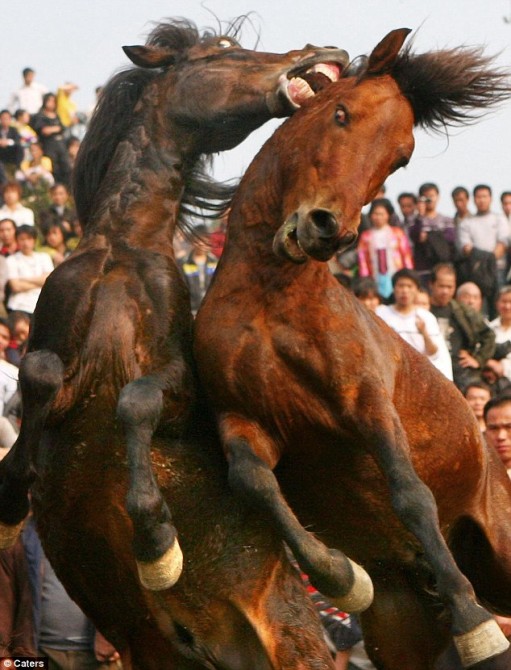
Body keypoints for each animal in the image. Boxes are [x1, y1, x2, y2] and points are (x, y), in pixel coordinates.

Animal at [0, 18, 350, 592]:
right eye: (225, 49)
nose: (329, 49)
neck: (121, 248)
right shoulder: (54, 359)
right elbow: (40, 372)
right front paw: (11, 498)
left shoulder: (179, 390)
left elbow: (137, 399)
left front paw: (156, 542)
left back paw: (340, 572)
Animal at [195, 28, 511, 668]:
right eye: (340, 113)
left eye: (400, 156)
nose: (327, 229)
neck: (271, 298)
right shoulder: (244, 416)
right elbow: (252, 481)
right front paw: (345, 577)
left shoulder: (368, 405)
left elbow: (410, 494)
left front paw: (476, 624)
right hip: (404, 631)